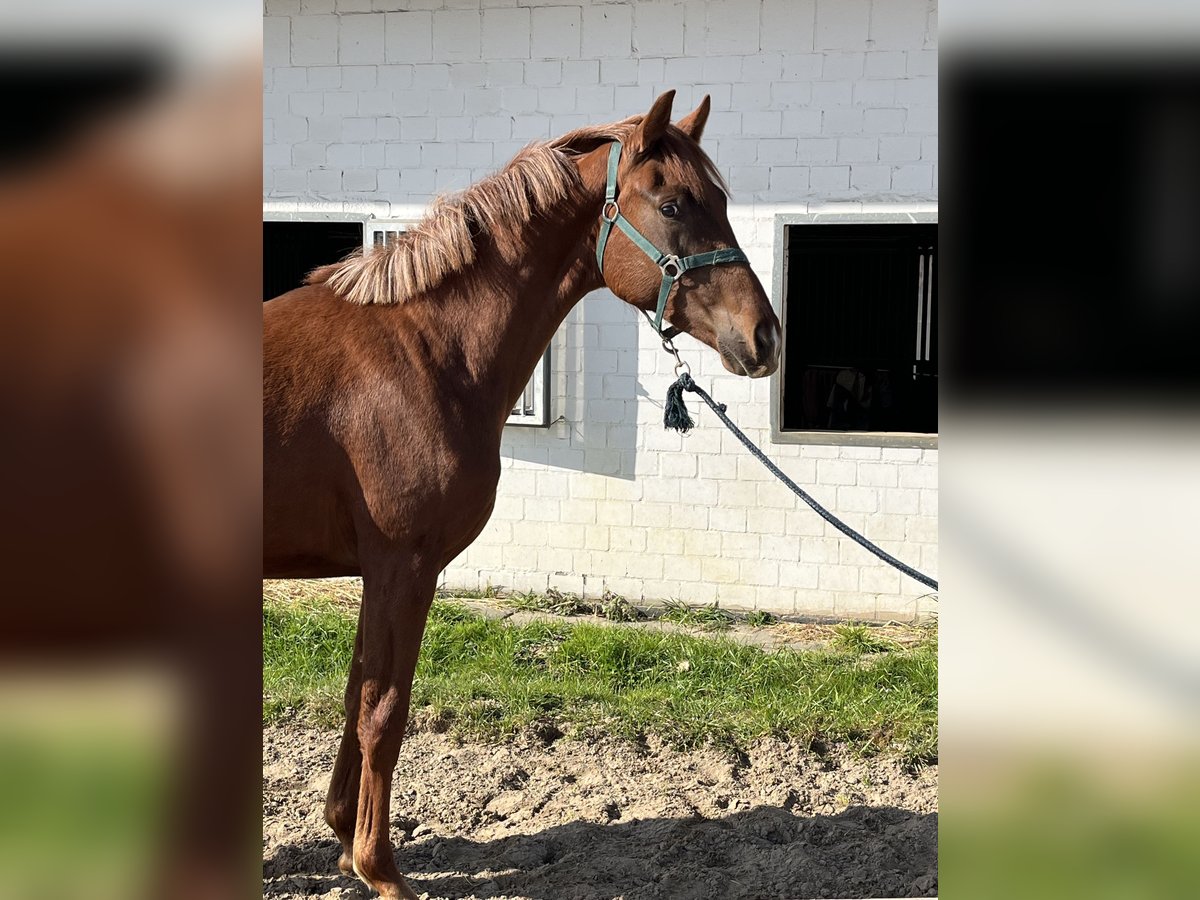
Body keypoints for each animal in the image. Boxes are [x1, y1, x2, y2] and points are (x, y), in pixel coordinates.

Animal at [265, 90, 777, 897]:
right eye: (671, 204)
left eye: (722, 203)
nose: (765, 337)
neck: (421, 349)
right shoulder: (404, 567)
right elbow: (384, 710)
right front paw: (381, 868)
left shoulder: (378, 574)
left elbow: (356, 696)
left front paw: (345, 838)